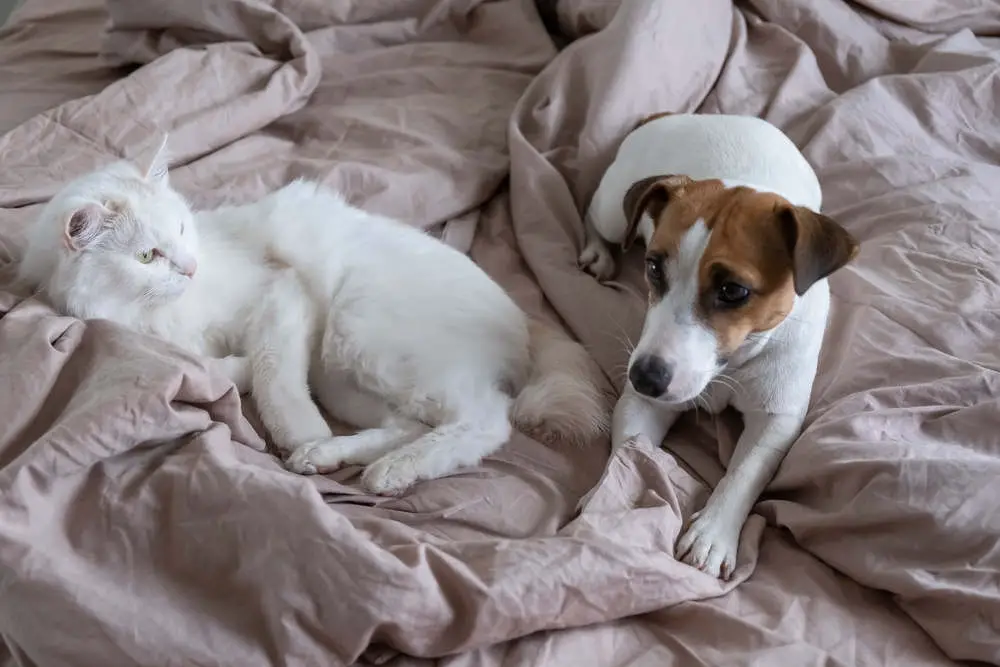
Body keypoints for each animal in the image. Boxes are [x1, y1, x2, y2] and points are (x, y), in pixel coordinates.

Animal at [17, 140, 608, 496]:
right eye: (146, 256)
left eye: (182, 229)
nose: (188, 266)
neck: (152, 314)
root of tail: (523, 318)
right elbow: (211, 366)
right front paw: (237, 379)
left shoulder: (281, 295)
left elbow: (271, 374)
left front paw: (293, 426)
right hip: (342, 375)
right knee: (411, 424)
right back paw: (327, 456)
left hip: (360, 330)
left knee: (486, 419)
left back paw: (383, 470)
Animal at [580, 113, 860, 580]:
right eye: (653, 267)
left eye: (733, 290)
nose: (644, 377)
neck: (735, 363)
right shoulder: (645, 399)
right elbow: (632, 452)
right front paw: (611, 494)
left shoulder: (776, 419)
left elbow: (744, 473)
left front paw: (712, 533)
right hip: (613, 209)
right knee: (594, 213)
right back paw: (597, 251)